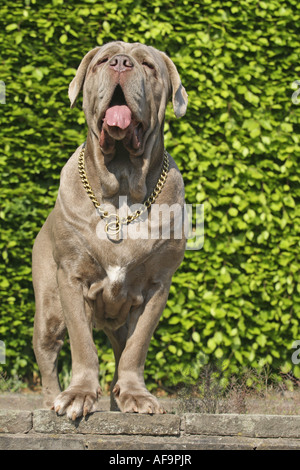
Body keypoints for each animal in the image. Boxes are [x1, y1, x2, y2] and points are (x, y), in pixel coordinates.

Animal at [32, 41, 188, 418]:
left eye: (148, 65)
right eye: (102, 60)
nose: (120, 62)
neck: (121, 188)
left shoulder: (157, 286)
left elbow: (137, 347)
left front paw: (135, 395)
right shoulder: (71, 278)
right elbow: (82, 344)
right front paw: (78, 395)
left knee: (120, 349)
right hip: (48, 308)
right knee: (46, 352)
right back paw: (50, 399)